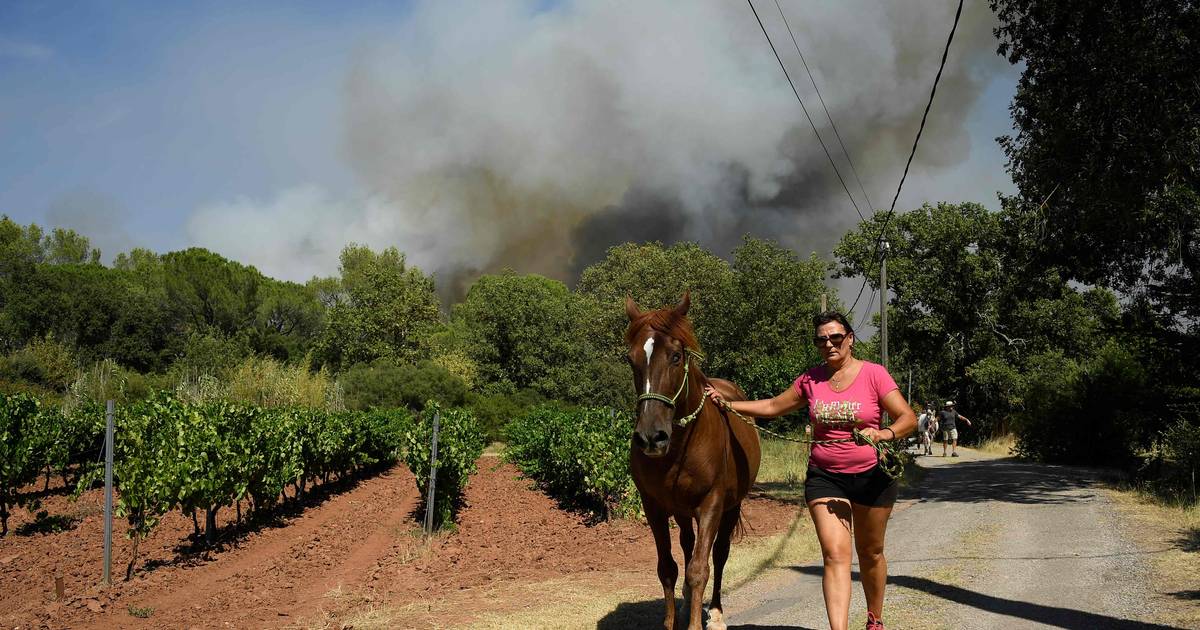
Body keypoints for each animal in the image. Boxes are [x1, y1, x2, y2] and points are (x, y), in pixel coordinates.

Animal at [628, 292, 758, 624]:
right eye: (630, 359)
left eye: (676, 357)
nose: (651, 437)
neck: (680, 447)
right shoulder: (654, 506)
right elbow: (668, 568)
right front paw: (673, 620)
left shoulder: (711, 504)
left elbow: (700, 569)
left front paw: (699, 622)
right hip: (682, 511)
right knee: (687, 546)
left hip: (730, 507)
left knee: (720, 553)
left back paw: (716, 612)